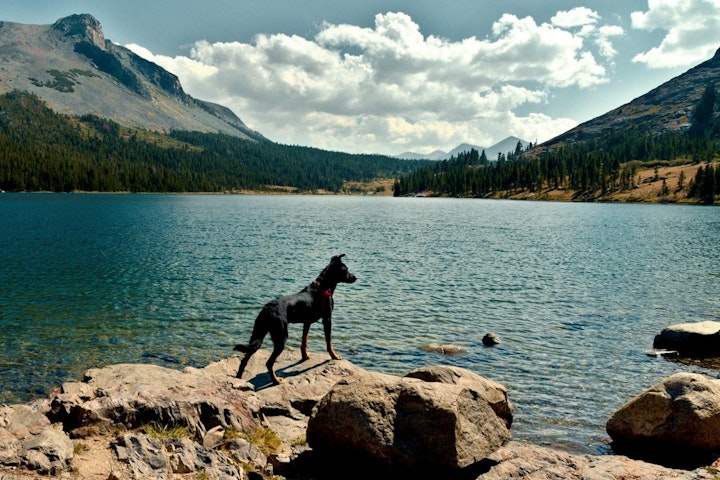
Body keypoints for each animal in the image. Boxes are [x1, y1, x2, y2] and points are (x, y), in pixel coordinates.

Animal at [235, 253, 356, 384]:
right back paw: (276, 380)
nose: (355, 277)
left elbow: (304, 341)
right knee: (268, 363)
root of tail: (267, 309)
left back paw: (239, 379)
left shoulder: (307, 322)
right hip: (281, 337)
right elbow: (329, 342)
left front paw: (305, 356)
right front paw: (334, 356)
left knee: (245, 358)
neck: (324, 287)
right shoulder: (327, 319)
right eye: (346, 269)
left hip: (258, 334)